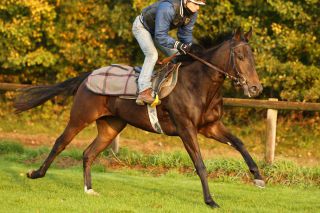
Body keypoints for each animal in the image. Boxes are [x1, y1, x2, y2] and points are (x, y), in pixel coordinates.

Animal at [14, 27, 264, 208]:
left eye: (253, 56)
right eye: (240, 56)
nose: (255, 88)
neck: (198, 85)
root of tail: (89, 75)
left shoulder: (210, 126)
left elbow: (240, 144)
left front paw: (258, 178)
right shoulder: (186, 128)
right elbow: (200, 164)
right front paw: (210, 200)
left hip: (111, 127)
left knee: (88, 153)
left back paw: (89, 189)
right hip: (80, 117)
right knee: (60, 143)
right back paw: (35, 173)